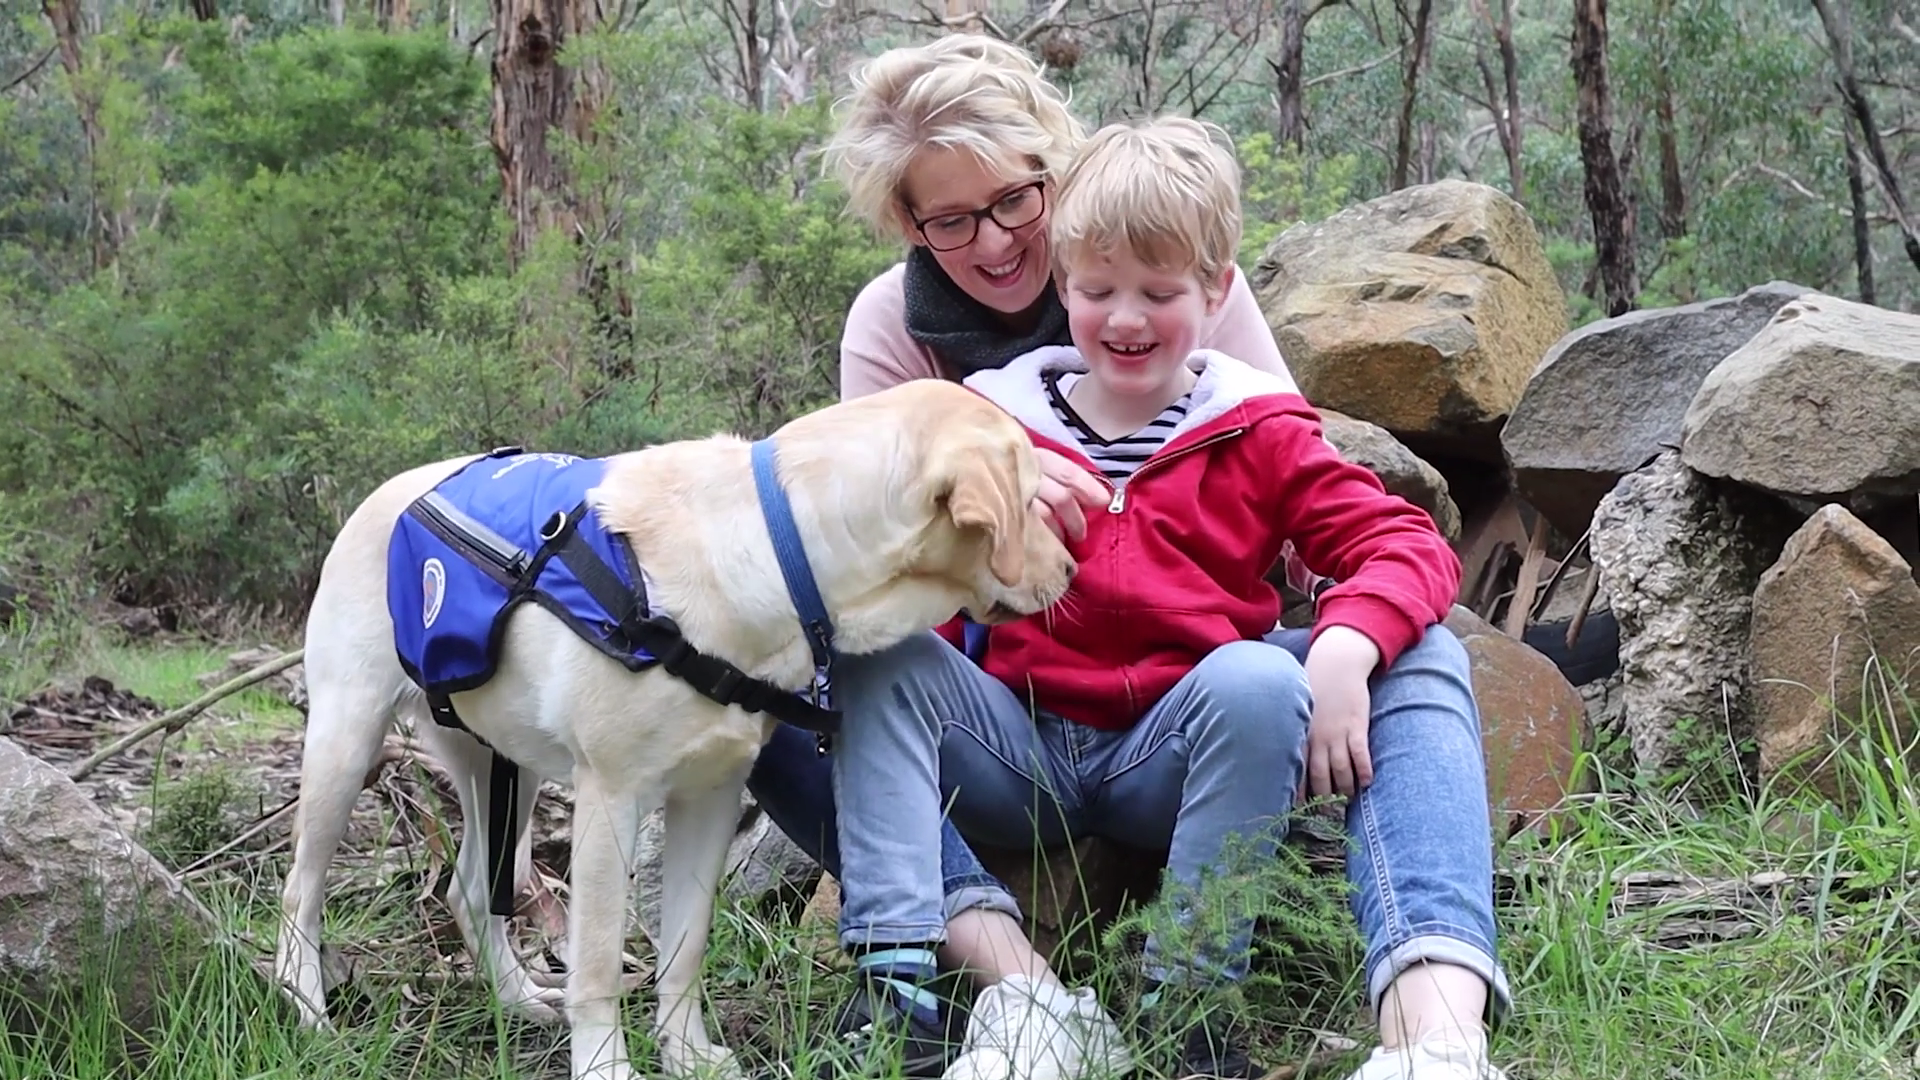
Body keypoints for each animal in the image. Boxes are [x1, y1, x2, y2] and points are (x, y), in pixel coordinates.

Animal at [272, 378, 1082, 1076]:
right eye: (1034, 500)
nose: (1074, 569)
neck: (782, 552)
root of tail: (382, 494)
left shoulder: (711, 795)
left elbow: (686, 946)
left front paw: (687, 1054)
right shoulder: (611, 797)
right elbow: (599, 960)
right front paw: (605, 1066)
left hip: (503, 767)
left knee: (470, 890)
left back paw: (518, 1000)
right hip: (345, 741)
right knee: (299, 890)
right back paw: (309, 1012)